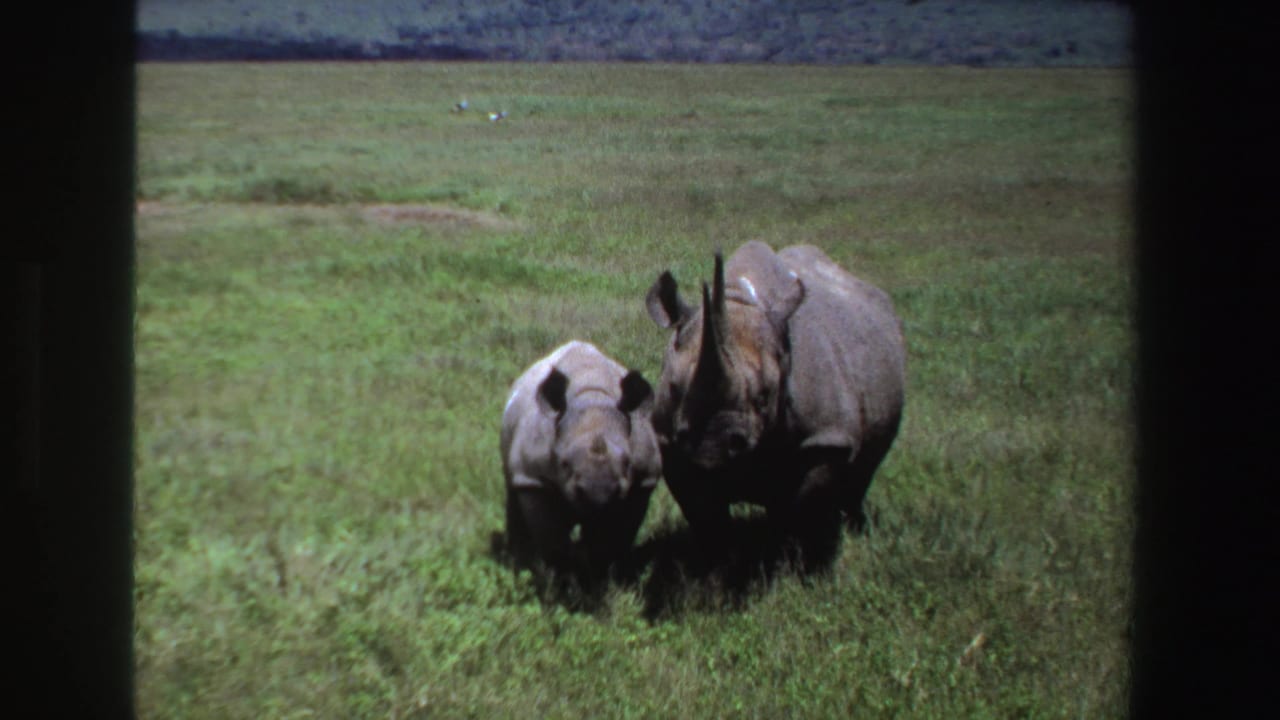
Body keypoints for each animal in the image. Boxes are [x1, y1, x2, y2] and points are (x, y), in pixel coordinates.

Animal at [500, 340, 662, 577]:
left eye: (627, 463)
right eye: (564, 464)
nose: (599, 492)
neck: (592, 396)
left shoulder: (643, 482)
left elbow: (616, 539)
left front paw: (602, 574)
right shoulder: (533, 478)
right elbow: (553, 543)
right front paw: (560, 579)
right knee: (512, 489)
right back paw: (518, 562)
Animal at [644, 241, 906, 565]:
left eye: (765, 396)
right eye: (674, 388)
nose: (712, 445)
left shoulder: (825, 439)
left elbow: (801, 507)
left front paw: (791, 562)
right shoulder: (671, 444)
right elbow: (707, 517)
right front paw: (719, 564)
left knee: (863, 471)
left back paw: (854, 528)